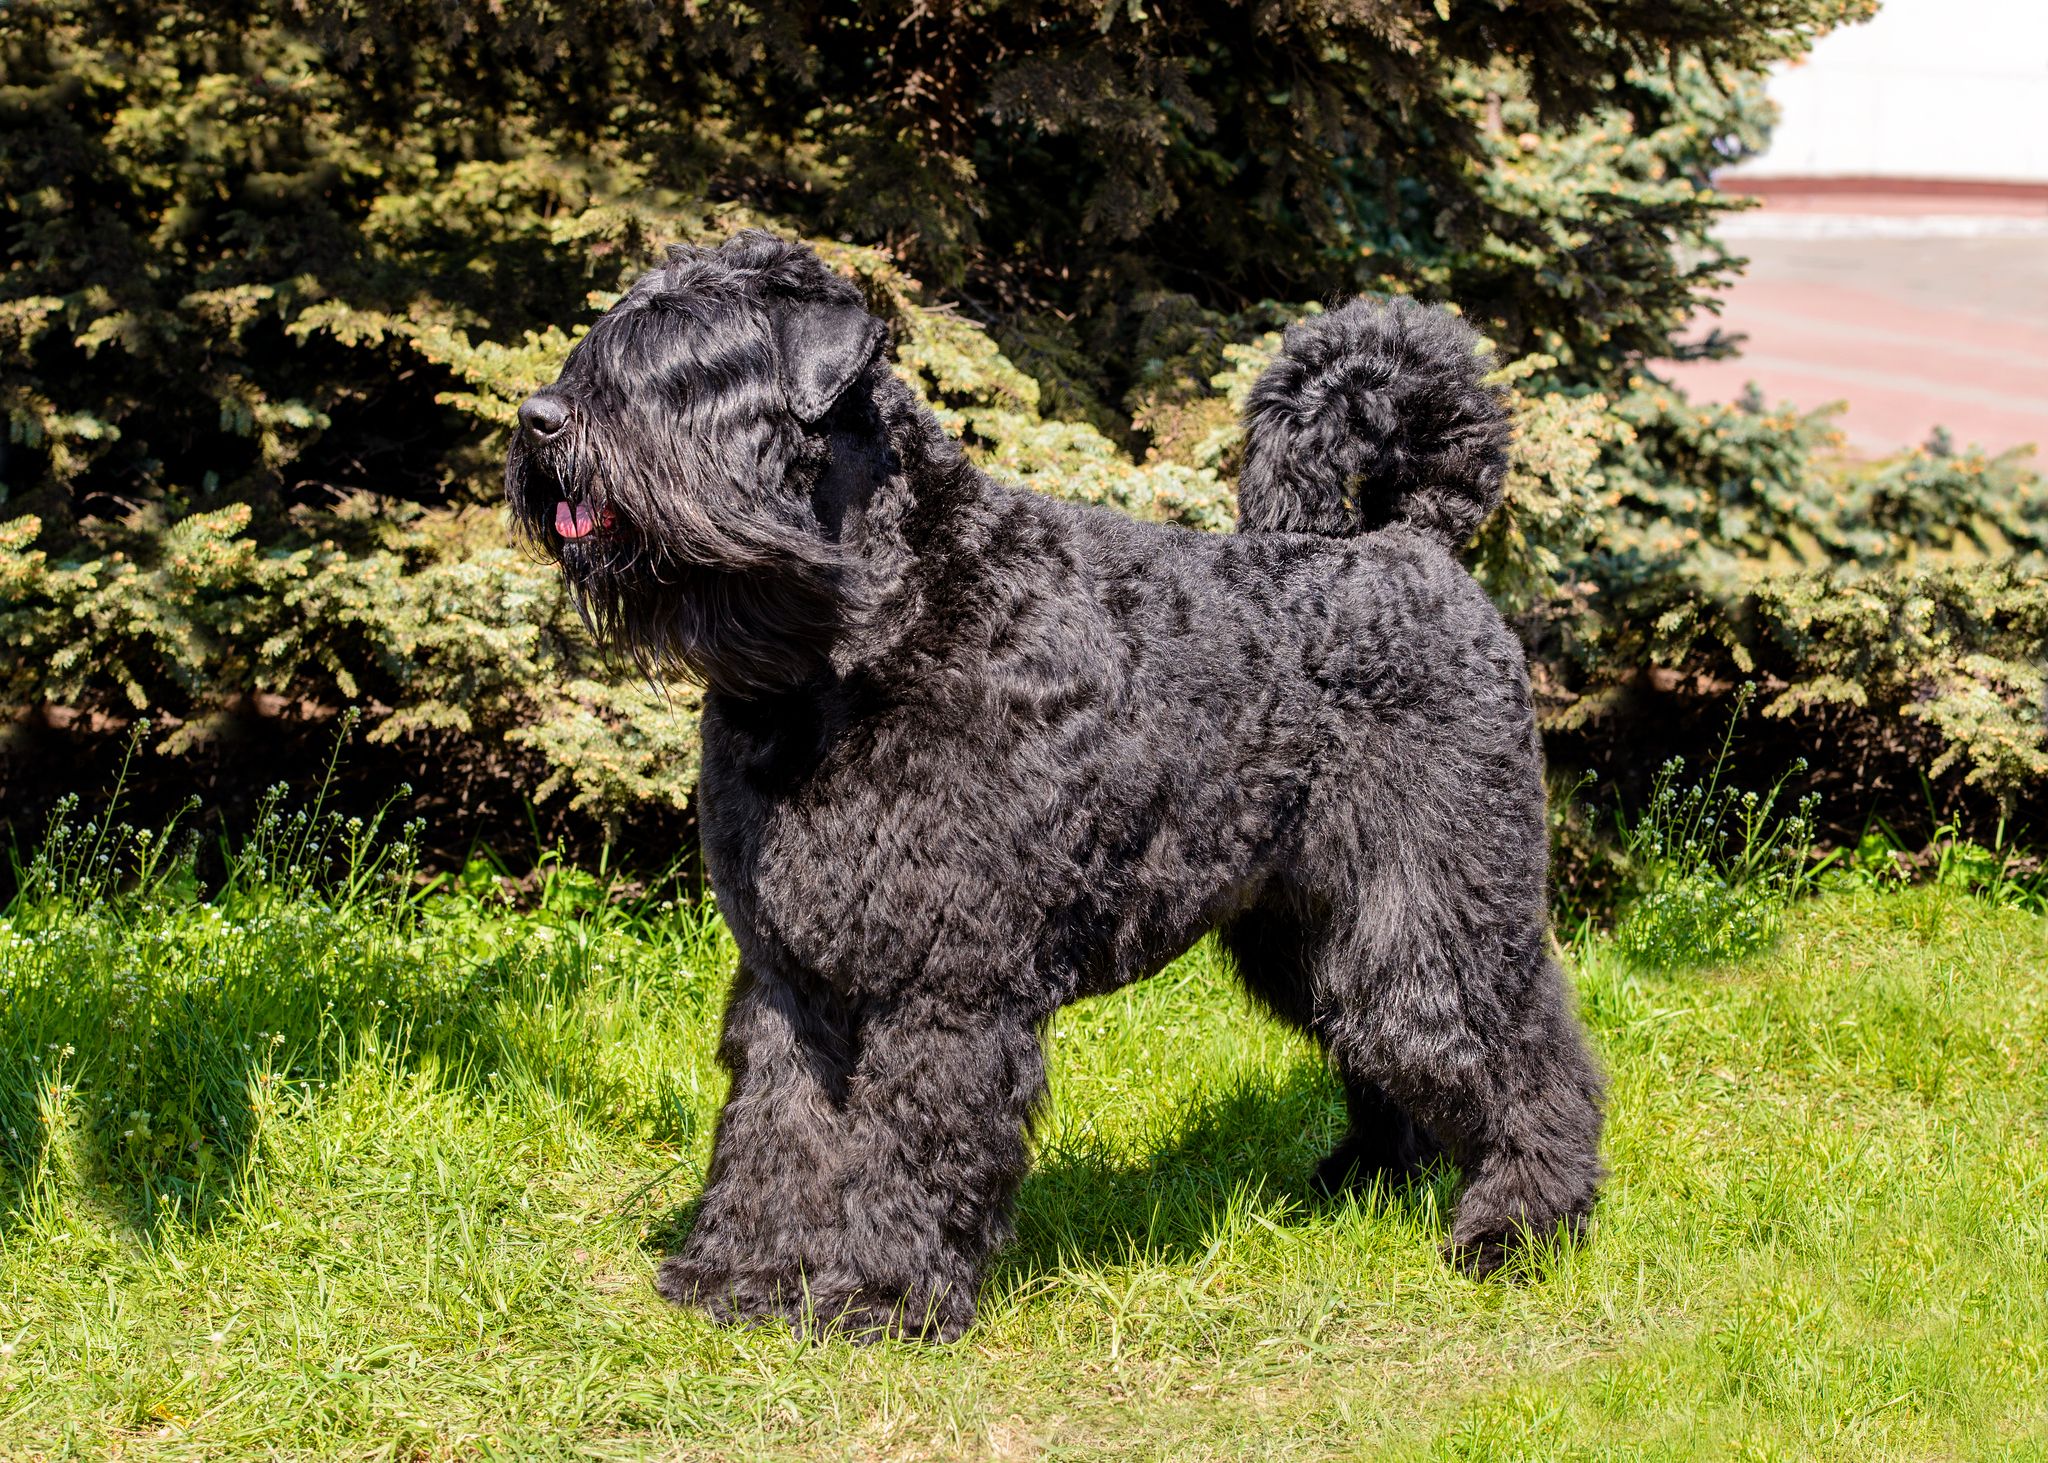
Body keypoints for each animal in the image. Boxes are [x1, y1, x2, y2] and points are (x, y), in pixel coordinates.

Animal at [507, 233, 1597, 1335]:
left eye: (699, 362)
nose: (538, 418)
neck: (860, 638)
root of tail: (1413, 541)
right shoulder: (788, 970)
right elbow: (778, 1128)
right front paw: (745, 1276)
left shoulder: (947, 975)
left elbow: (909, 1136)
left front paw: (882, 1292)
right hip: (1311, 929)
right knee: (1378, 1038)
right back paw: (1364, 1179)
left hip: (1433, 901)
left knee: (1517, 1049)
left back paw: (1519, 1226)